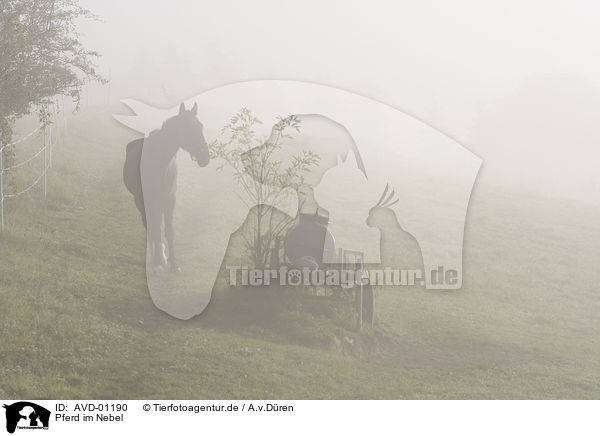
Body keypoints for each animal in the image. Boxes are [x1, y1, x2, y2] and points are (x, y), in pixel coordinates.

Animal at [123, 102, 210, 272]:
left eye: (201, 126)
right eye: (189, 128)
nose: (206, 158)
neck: (159, 163)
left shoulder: (170, 200)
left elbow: (169, 231)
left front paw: (174, 263)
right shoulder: (148, 200)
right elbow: (155, 229)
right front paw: (158, 262)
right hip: (141, 202)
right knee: (150, 225)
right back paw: (155, 257)